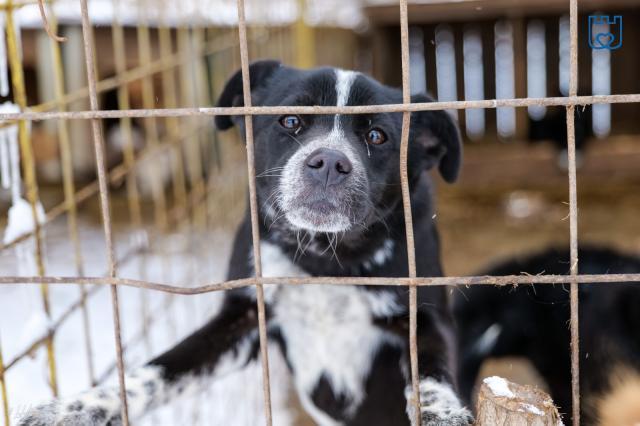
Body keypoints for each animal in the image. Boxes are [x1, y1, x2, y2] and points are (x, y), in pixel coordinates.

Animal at [18, 61, 470, 424]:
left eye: (377, 136)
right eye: (289, 121)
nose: (328, 162)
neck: (323, 261)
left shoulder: (427, 319)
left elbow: (432, 374)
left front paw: (443, 412)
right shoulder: (240, 319)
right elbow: (156, 371)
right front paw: (76, 406)